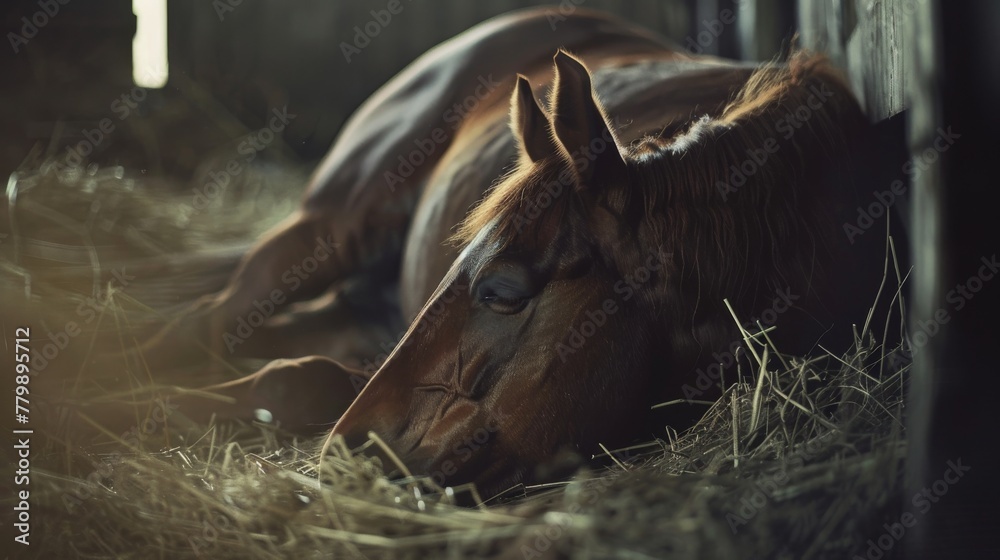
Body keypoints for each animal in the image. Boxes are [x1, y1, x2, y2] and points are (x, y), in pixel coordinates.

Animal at [146, 8, 885, 498]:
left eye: (501, 291)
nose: (343, 454)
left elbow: (305, 376)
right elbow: (297, 377)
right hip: (328, 226)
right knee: (209, 320)